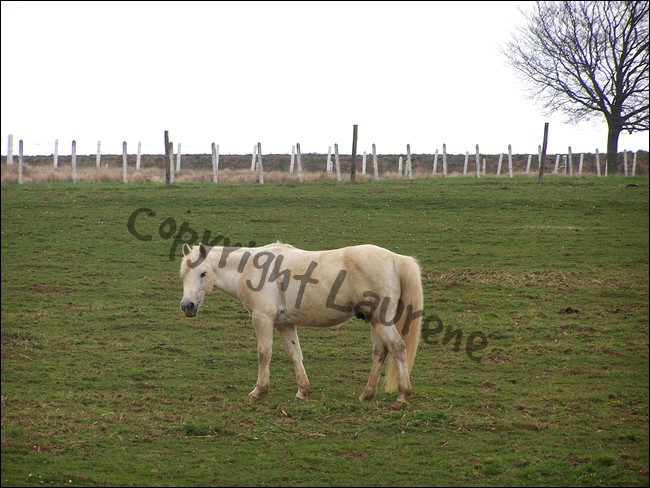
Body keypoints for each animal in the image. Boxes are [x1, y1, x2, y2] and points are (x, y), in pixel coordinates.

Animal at [177, 242, 422, 406]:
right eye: (183, 274)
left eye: (203, 273)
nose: (187, 306)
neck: (252, 270)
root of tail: (394, 258)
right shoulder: (285, 325)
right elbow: (295, 355)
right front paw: (303, 391)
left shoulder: (262, 319)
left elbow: (264, 354)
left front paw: (258, 392)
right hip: (375, 322)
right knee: (380, 352)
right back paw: (366, 394)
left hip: (382, 321)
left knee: (398, 348)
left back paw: (402, 395)